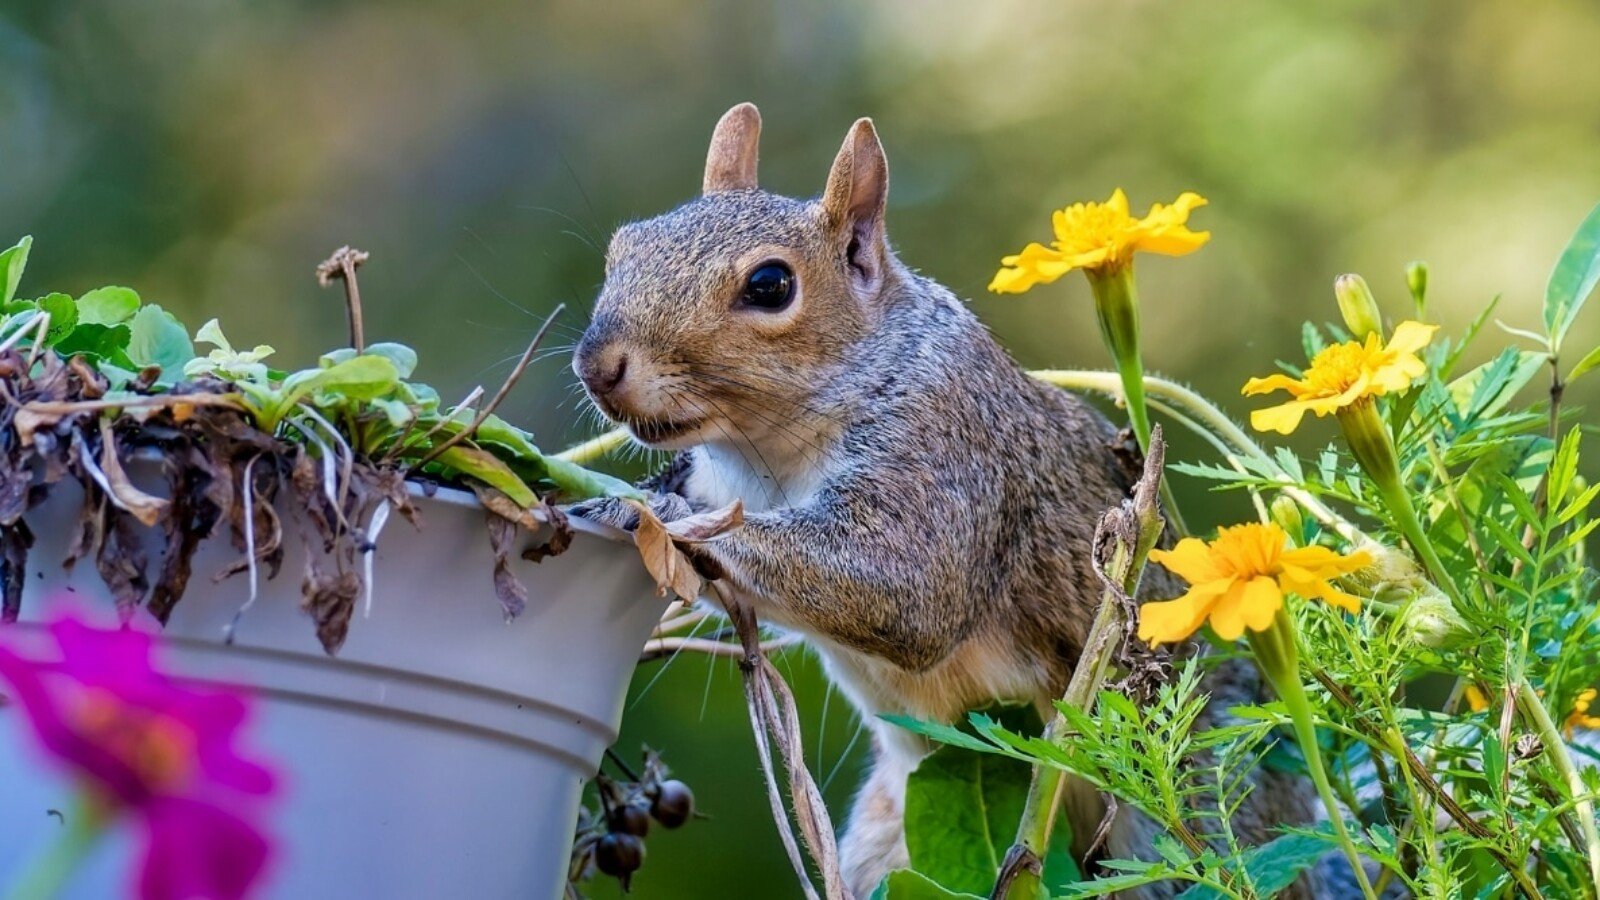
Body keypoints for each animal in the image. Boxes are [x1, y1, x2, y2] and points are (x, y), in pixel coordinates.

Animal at [572, 103, 1325, 898]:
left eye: (771, 285)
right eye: (624, 246)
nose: (598, 365)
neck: (763, 455)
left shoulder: (947, 447)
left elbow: (905, 586)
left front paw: (643, 514)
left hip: (1191, 809)